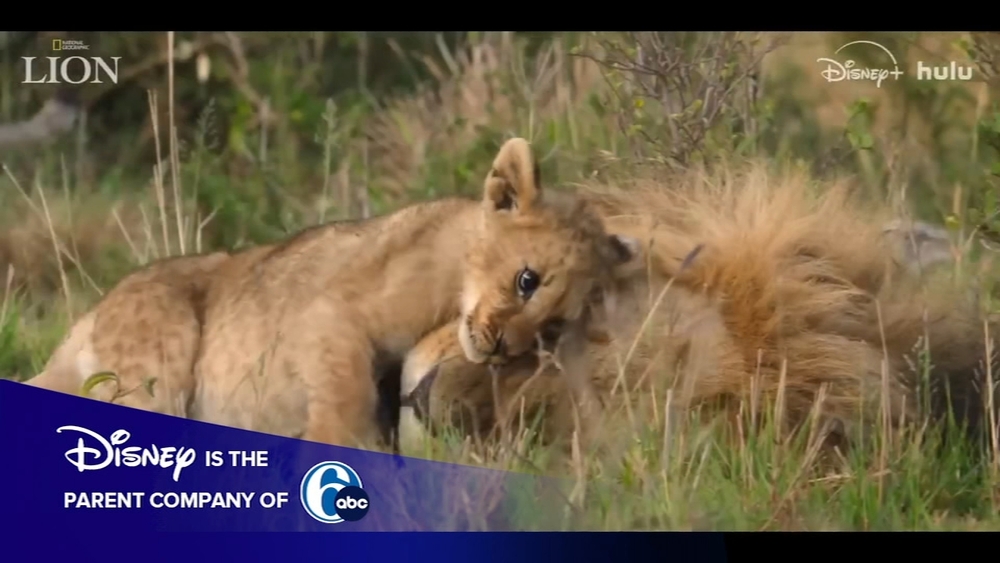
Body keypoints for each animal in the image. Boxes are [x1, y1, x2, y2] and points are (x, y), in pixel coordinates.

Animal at [22, 137, 642, 452]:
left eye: (553, 329)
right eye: (525, 280)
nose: (501, 349)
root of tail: (91, 313)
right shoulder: (332, 312)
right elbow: (345, 390)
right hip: (158, 361)